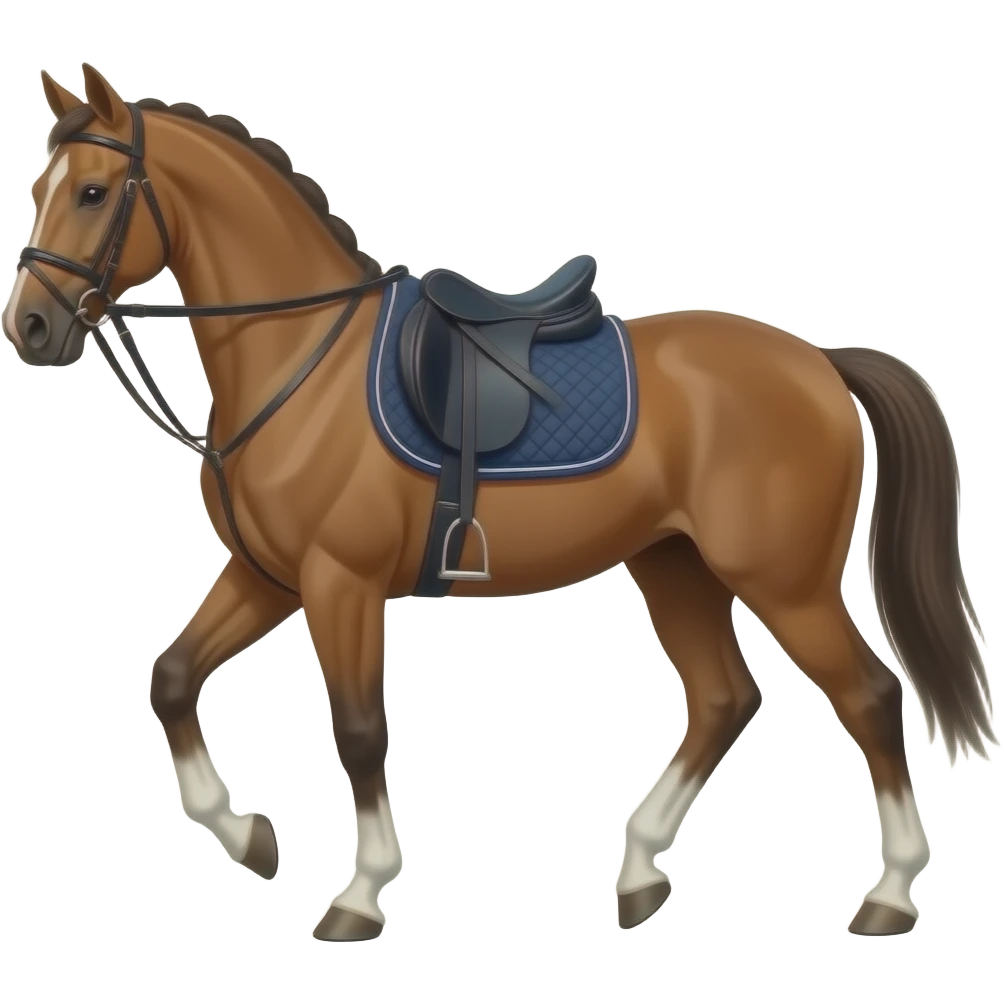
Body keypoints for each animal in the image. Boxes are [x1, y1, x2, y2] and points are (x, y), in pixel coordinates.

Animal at [2, 63, 996, 943]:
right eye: (40, 188)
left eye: (91, 192)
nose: (31, 329)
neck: (301, 358)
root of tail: (820, 360)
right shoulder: (267, 578)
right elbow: (171, 678)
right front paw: (249, 836)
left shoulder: (339, 585)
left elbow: (359, 731)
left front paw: (360, 895)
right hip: (673, 564)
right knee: (723, 699)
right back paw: (640, 873)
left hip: (783, 583)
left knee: (869, 696)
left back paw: (888, 896)